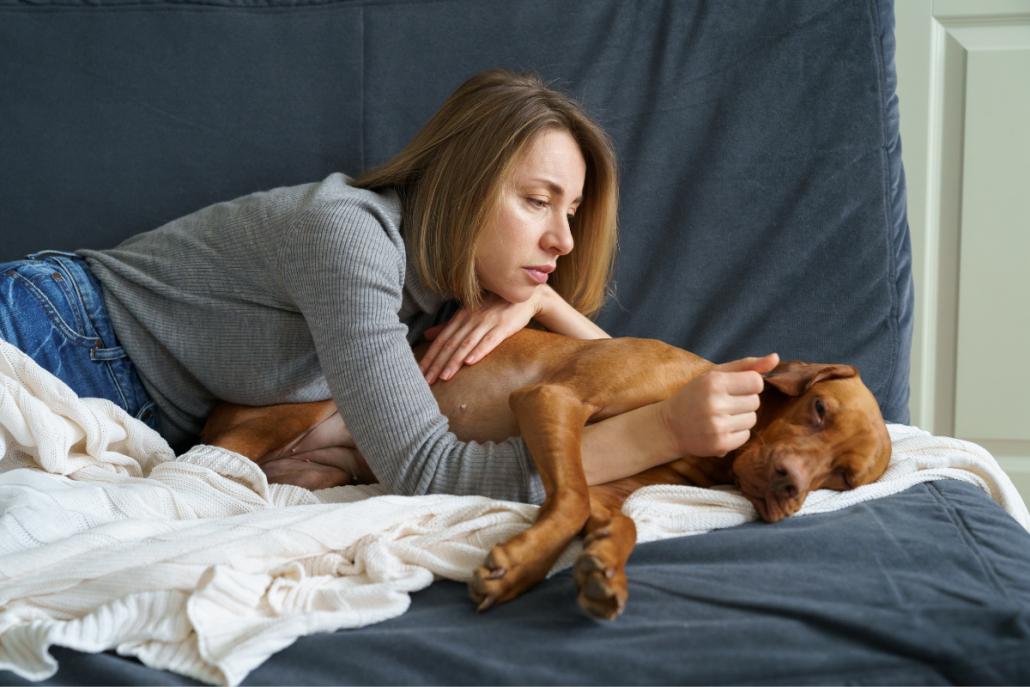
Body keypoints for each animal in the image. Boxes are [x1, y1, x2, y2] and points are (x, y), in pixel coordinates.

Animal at [202, 327, 894, 617]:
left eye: (843, 478)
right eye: (819, 409)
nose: (789, 487)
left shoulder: (613, 489)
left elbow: (618, 523)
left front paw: (601, 568)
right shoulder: (552, 402)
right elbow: (568, 500)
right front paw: (518, 567)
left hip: (323, 468)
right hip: (287, 412)